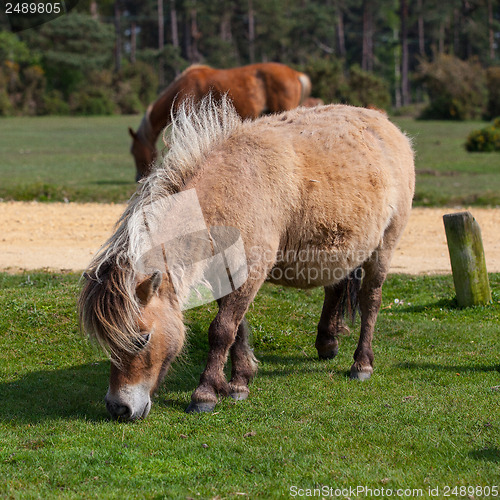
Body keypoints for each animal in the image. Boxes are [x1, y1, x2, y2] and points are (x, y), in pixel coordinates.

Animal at [79, 95, 414, 420]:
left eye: (141, 339)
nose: (119, 408)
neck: (231, 193)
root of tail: (385, 123)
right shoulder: (222, 275)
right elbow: (235, 329)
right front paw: (239, 381)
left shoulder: (251, 271)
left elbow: (222, 330)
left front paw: (205, 395)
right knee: (335, 288)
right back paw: (327, 343)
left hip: (384, 246)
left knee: (371, 300)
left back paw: (362, 364)